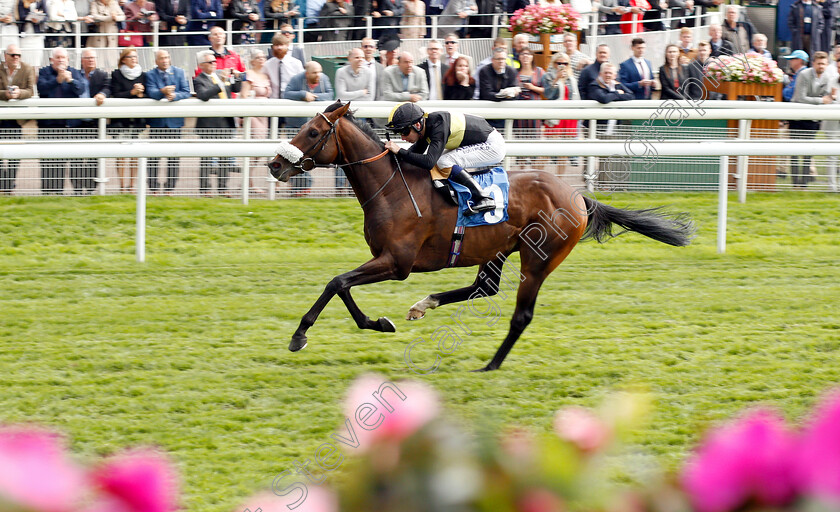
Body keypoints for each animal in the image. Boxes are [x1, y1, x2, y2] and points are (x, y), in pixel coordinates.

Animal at [270, 101, 696, 372]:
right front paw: (379, 322)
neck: (391, 189)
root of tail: (578, 196)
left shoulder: (396, 262)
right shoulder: (387, 261)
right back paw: (425, 304)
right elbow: (341, 285)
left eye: (312, 131)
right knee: (484, 288)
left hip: (538, 259)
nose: (274, 165)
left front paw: (302, 335)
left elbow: (337, 282)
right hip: (499, 249)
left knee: (520, 314)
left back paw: (491, 364)